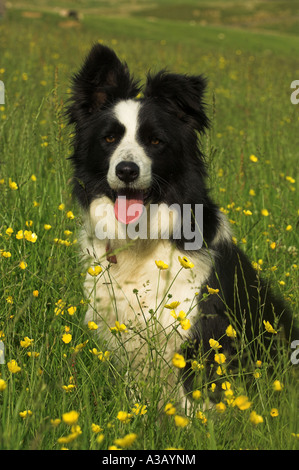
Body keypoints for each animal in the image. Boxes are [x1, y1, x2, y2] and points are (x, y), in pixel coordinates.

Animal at [67, 44, 298, 410]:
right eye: (109, 138)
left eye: (155, 141)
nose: (127, 170)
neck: (144, 240)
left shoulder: (204, 335)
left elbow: (194, 404)